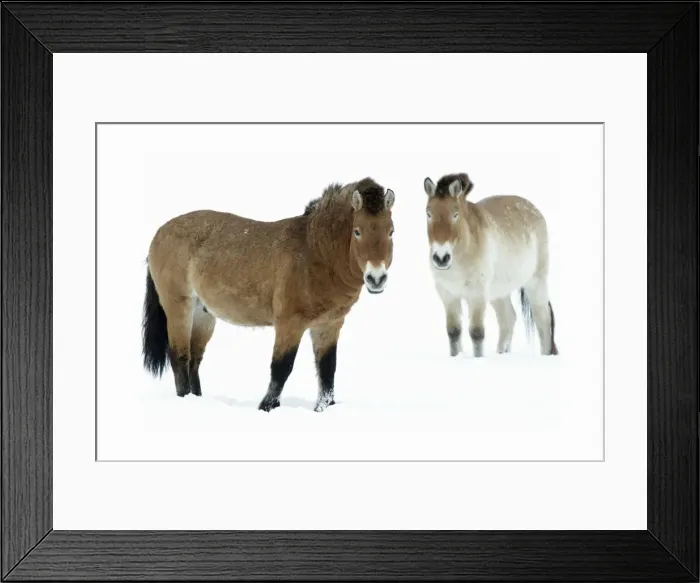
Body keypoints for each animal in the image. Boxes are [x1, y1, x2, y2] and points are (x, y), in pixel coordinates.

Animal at [142, 177, 395, 412]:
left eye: (391, 231)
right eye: (357, 231)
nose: (376, 279)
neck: (314, 252)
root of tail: (160, 232)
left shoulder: (329, 325)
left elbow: (327, 370)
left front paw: (324, 407)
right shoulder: (289, 324)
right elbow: (281, 368)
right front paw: (267, 407)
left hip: (203, 314)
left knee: (194, 359)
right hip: (178, 306)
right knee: (179, 356)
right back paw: (185, 399)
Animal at [423, 172, 558, 358]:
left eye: (455, 214)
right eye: (428, 214)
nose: (441, 258)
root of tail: (534, 210)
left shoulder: (477, 294)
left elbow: (477, 333)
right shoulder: (448, 295)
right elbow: (453, 331)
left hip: (536, 282)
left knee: (543, 320)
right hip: (498, 292)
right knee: (508, 318)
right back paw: (501, 353)